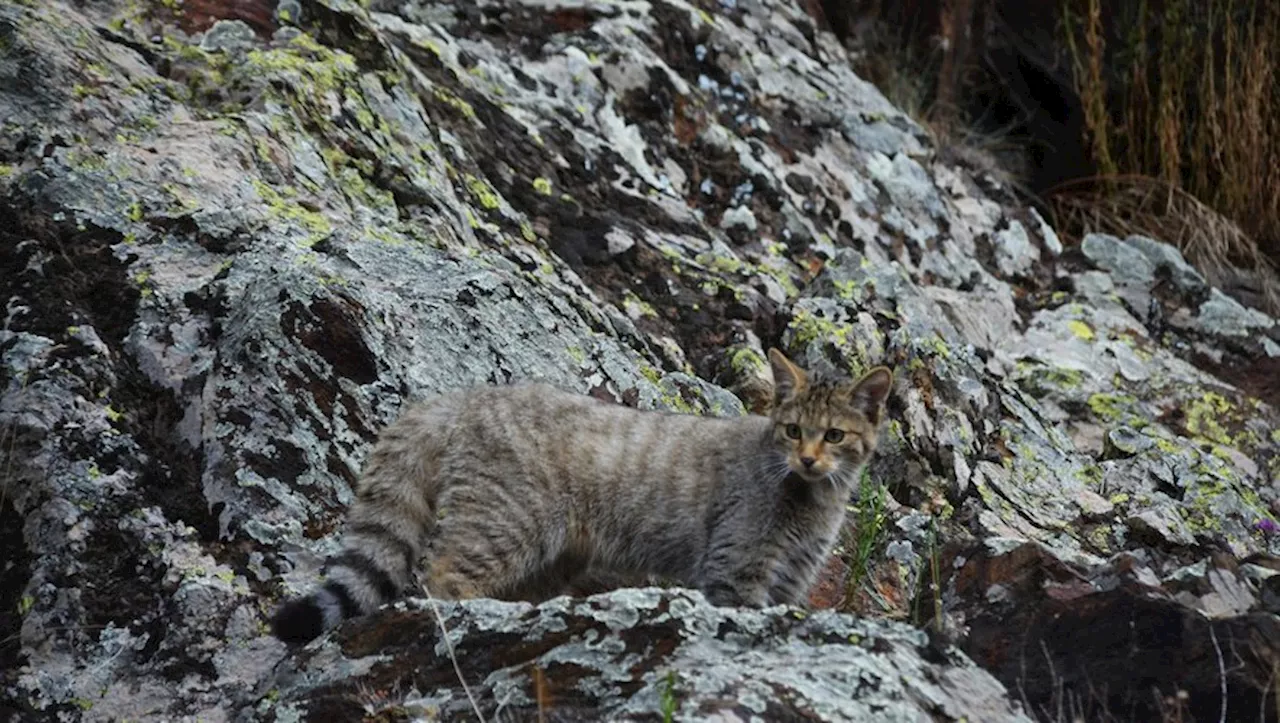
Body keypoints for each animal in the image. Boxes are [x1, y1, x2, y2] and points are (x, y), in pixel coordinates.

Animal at [272, 350, 890, 642]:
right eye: (793, 430)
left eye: (834, 436)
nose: (807, 459)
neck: (810, 502)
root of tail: (465, 398)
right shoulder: (737, 572)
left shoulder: (789, 583)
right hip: (506, 524)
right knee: (443, 575)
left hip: (550, 558)